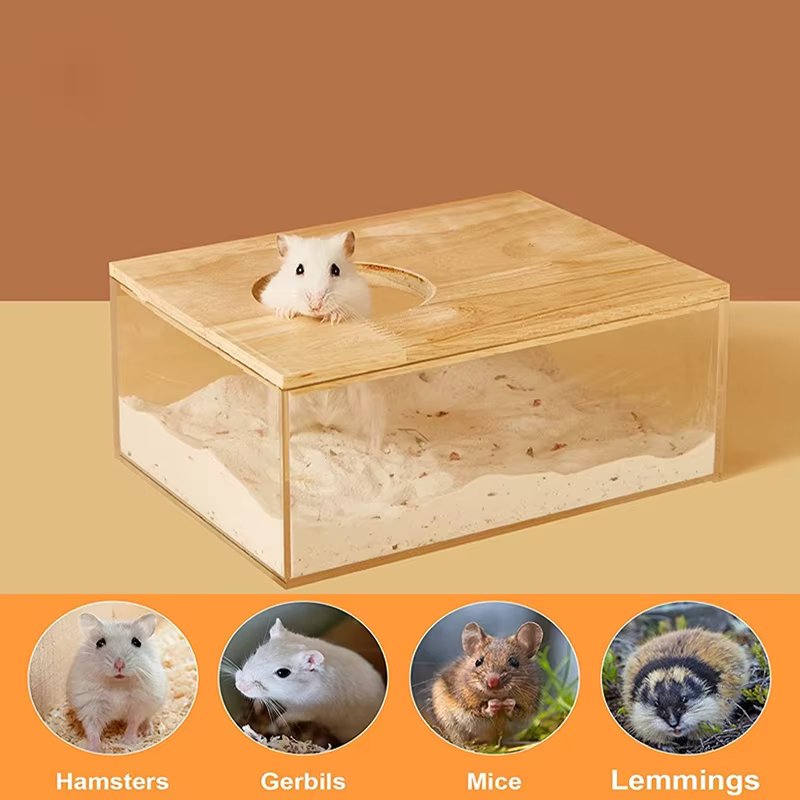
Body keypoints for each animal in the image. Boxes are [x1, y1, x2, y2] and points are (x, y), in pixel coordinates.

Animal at [66, 613, 168, 752]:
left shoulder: (139, 705)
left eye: (136, 642)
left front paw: (127, 743)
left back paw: (147, 731)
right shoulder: (91, 706)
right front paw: (95, 749)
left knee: (147, 718)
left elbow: (133, 724)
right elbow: (92, 730)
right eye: (99, 643)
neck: (118, 684)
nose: (119, 664)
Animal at [234, 618, 385, 745]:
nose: (239, 686)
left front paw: (274, 725)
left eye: (283, 673)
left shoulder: (306, 709)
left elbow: (286, 716)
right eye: (257, 651)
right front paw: (258, 707)